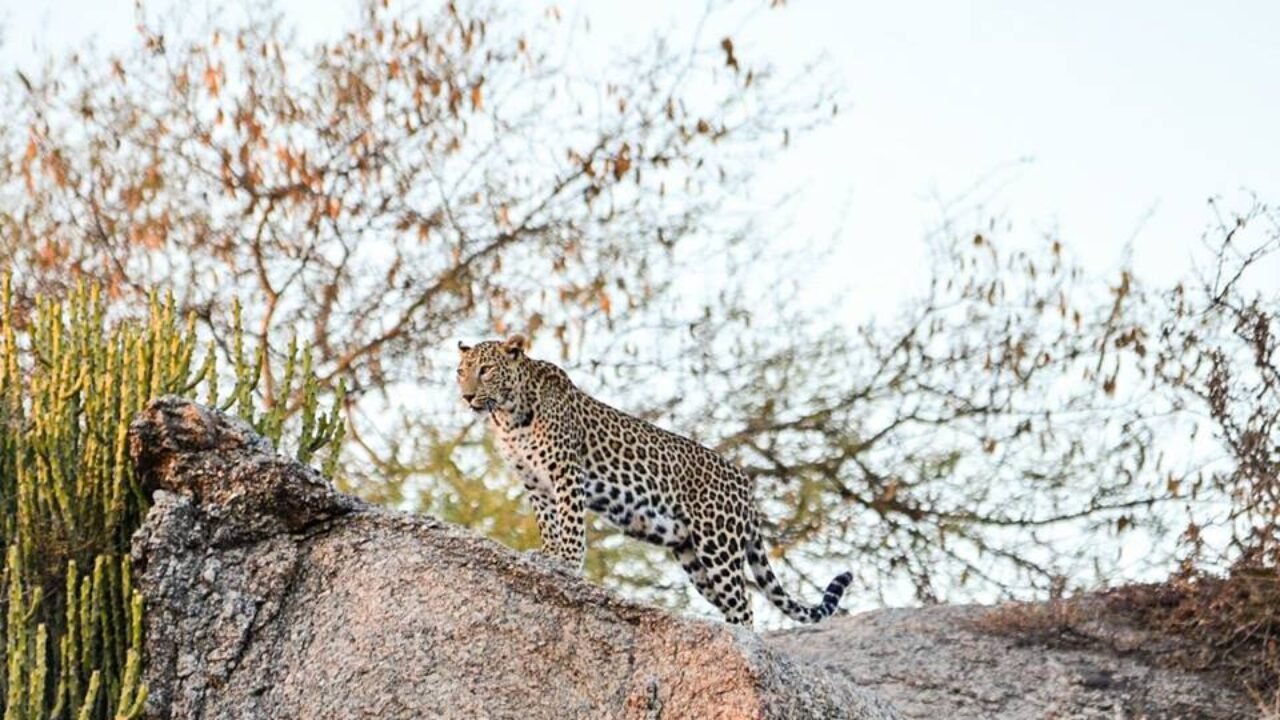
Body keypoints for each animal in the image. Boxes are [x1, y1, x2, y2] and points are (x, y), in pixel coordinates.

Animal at [455, 333, 855, 625]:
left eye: (486, 370)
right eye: (461, 371)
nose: (467, 396)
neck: (508, 416)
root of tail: (746, 486)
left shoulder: (566, 471)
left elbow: (569, 521)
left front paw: (566, 560)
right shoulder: (534, 482)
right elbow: (548, 521)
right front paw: (549, 554)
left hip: (718, 544)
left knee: (743, 605)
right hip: (691, 555)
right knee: (731, 602)